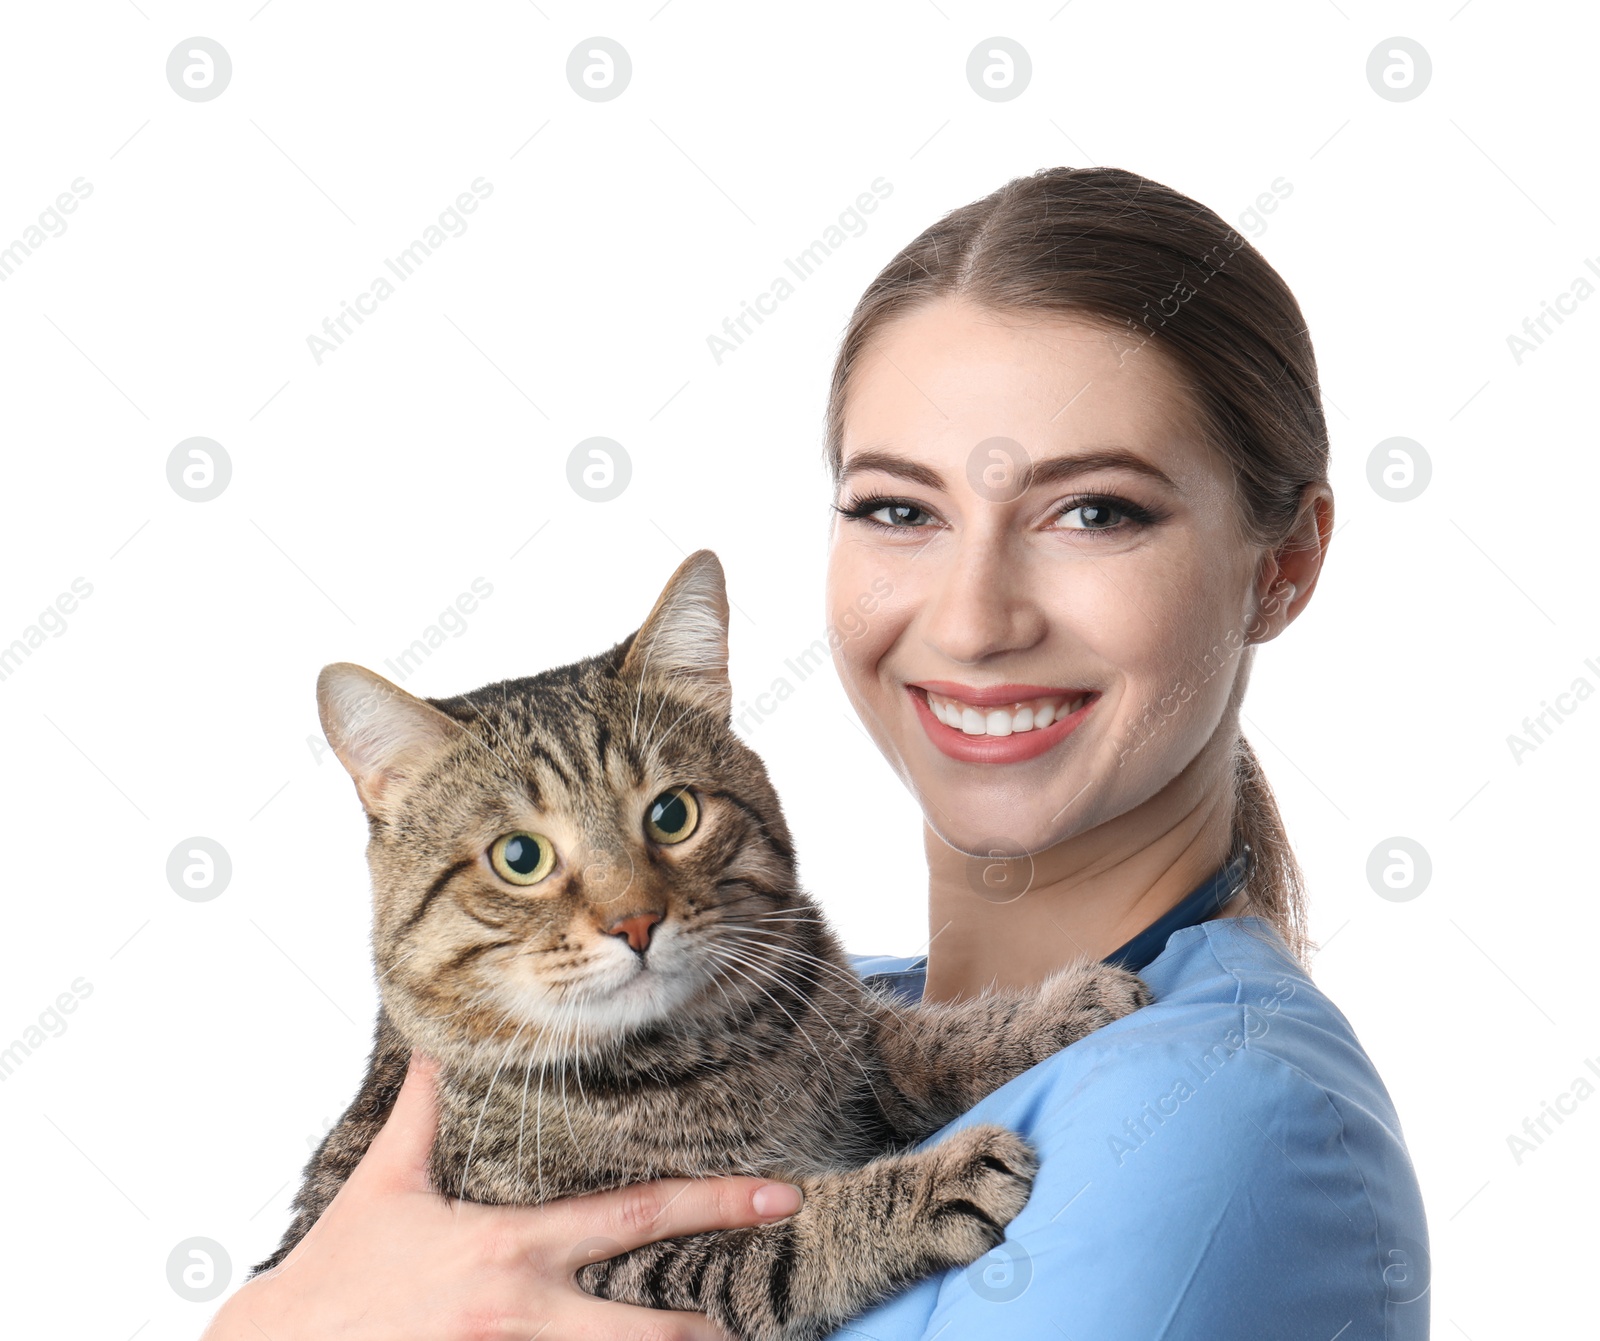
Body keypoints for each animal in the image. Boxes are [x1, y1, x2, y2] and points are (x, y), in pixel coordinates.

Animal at [252, 547, 1152, 1341]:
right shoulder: (598, 1268)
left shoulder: (843, 1034)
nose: (635, 921)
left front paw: (1055, 1012)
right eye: (520, 857)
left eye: (672, 813)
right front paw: (926, 1185)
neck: (712, 1052)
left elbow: (922, 1039)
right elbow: (775, 1246)